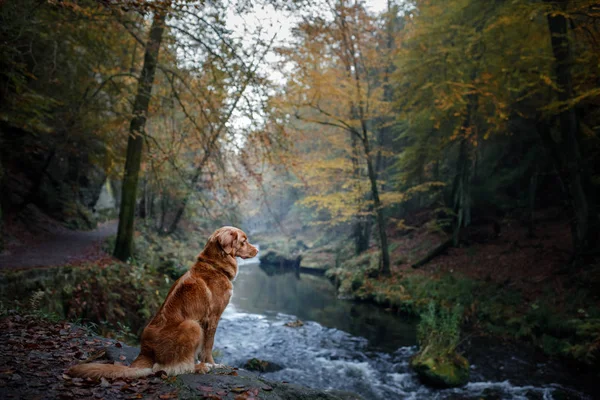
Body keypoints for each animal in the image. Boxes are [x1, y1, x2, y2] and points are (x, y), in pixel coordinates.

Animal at [67, 225, 258, 378]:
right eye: (244, 241)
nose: (257, 251)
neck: (215, 265)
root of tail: (146, 351)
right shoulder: (212, 318)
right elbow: (208, 346)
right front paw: (213, 363)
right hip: (192, 325)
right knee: (171, 368)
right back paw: (200, 367)